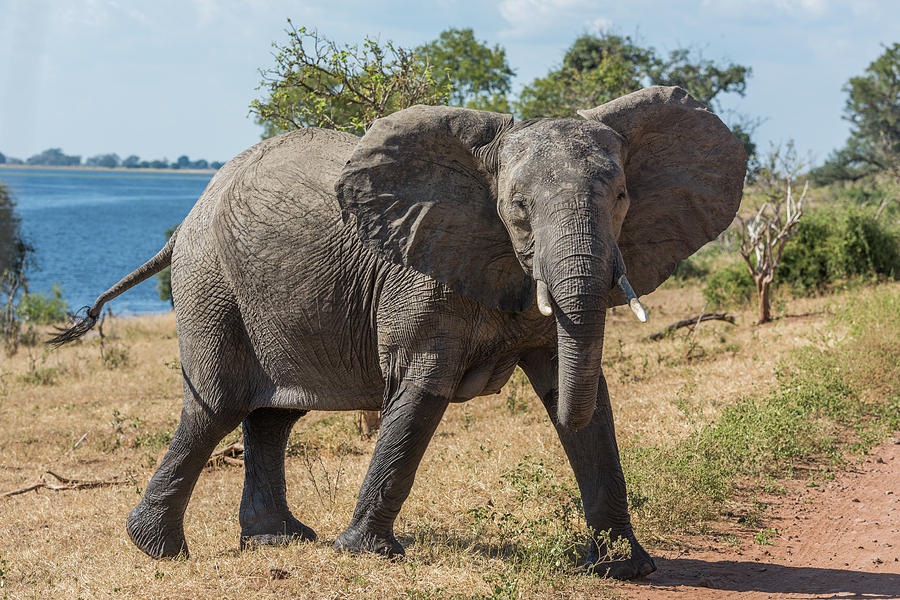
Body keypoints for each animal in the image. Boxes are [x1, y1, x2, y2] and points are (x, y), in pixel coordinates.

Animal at [52, 85, 748, 580]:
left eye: (624, 197)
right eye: (517, 209)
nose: (591, 555)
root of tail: (185, 222)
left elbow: (578, 391)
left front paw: (626, 567)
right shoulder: (421, 275)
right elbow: (421, 390)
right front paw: (366, 554)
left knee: (273, 416)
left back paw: (278, 539)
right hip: (210, 283)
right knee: (216, 408)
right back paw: (160, 551)